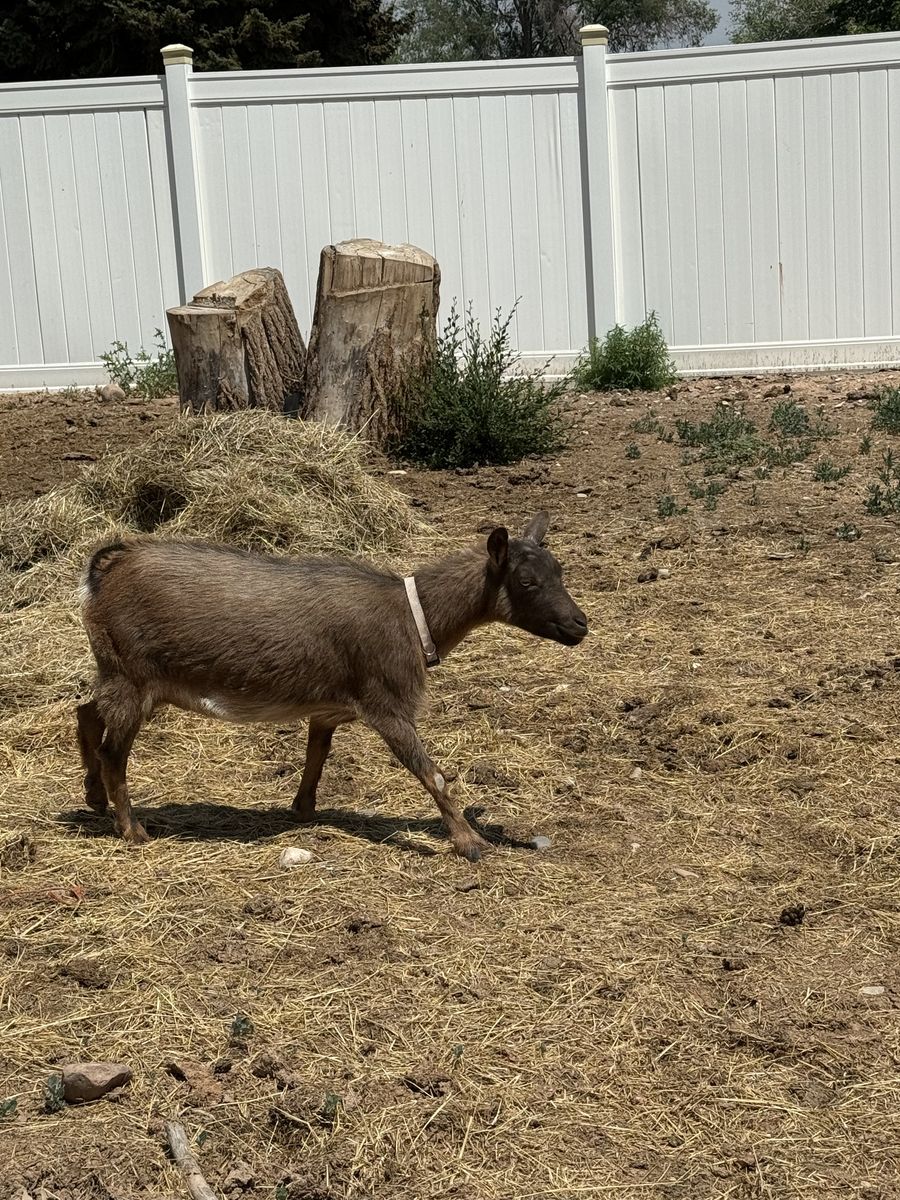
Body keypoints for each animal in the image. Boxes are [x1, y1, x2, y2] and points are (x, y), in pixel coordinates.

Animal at [76, 512, 588, 861]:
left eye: (560, 571)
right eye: (526, 581)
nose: (579, 625)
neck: (413, 616)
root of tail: (105, 570)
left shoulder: (328, 708)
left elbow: (316, 756)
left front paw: (303, 810)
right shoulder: (387, 703)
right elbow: (432, 772)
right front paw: (470, 842)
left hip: (123, 675)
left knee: (85, 712)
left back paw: (94, 798)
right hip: (132, 677)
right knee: (113, 750)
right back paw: (132, 829)